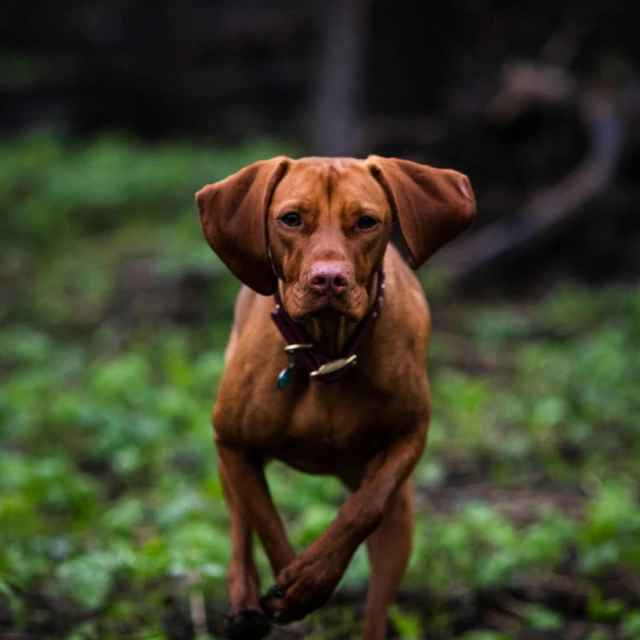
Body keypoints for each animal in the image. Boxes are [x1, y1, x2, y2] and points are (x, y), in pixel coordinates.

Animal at [196, 156, 476, 640]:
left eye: (366, 222)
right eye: (291, 219)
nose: (329, 280)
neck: (327, 354)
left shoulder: (410, 438)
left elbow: (364, 508)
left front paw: (313, 576)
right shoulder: (232, 443)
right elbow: (263, 521)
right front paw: (290, 584)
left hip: (399, 525)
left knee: (378, 600)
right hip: (227, 455)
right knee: (239, 527)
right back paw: (244, 602)